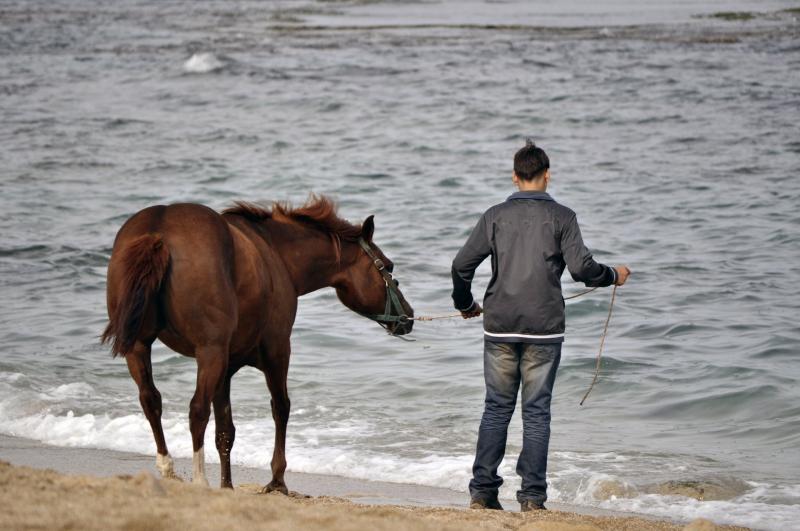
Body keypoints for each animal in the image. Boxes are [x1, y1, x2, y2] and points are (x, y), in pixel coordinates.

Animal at [101, 195, 412, 490]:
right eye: (389, 267)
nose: (408, 316)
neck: (275, 252)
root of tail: (159, 231)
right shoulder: (277, 351)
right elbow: (281, 408)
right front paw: (277, 479)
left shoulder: (225, 369)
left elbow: (225, 431)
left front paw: (227, 486)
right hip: (209, 352)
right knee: (197, 409)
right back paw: (199, 480)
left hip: (140, 347)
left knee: (151, 400)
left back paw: (168, 469)